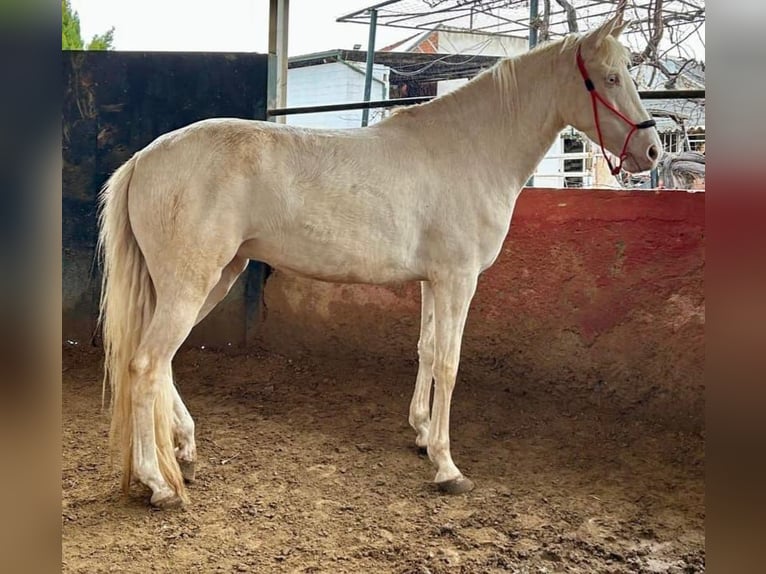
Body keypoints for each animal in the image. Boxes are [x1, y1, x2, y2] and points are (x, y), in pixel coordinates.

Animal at [97, 14, 660, 508]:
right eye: (610, 78)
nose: (652, 151)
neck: (469, 150)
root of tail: (145, 158)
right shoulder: (458, 280)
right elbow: (450, 364)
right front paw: (447, 467)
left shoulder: (435, 281)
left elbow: (427, 351)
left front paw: (421, 433)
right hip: (191, 283)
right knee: (146, 365)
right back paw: (158, 483)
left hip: (210, 279)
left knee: (162, 362)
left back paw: (184, 450)